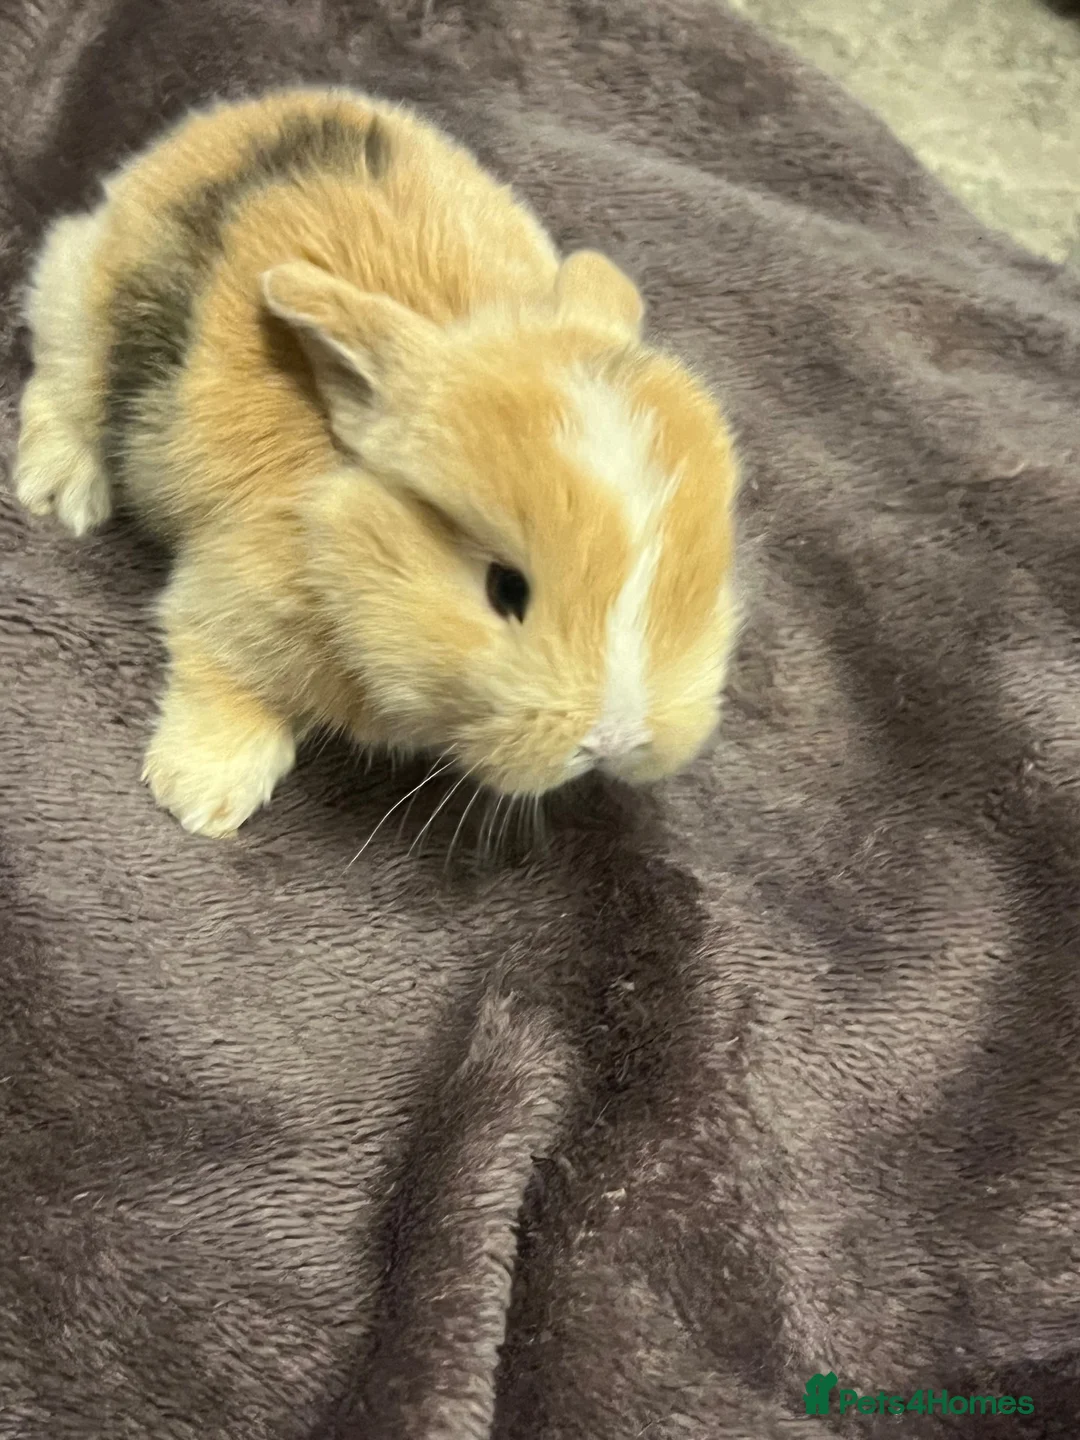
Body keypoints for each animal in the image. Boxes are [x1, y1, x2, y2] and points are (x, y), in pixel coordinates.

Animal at [13, 88, 741, 838]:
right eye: (505, 588)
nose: (615, 739)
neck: (341, 531)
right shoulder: (226, 603)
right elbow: (223, 675)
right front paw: (201, 797)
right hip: (80, 310)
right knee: (60, 381)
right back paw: (63, 493)